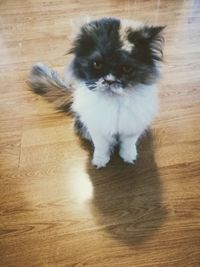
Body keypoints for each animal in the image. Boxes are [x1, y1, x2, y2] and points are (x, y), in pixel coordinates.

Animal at [28, 17, 166, 170]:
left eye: (126, 68)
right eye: (97, 65)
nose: (110, 81)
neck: (113, 102)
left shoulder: (132, 128)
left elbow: (128, 145)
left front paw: (128, 157)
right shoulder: (97, 129)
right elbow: (101, 147)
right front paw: (100, 161)